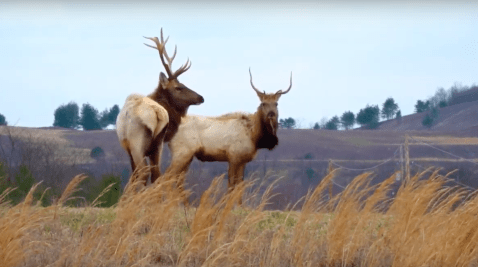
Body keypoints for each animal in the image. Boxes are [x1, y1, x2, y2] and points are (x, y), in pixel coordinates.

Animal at [117, 29, 205, 186]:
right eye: (179, 87)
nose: (201, 97)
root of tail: (156, 112)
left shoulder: (128, 147)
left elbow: (133, 175)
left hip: (137, 143)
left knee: (143, 173)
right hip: (156, 144)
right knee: (156, 174)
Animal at [164, 68, 292, 204]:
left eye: (276, 104)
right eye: (263, 103)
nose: (271, 114)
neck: (254, 135)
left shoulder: (243, 160)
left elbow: (240, 185)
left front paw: (240, 205)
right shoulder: (233, 157)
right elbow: (231, 184)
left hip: (187, 156)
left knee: (178, 179)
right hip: (182, 153)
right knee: (167, 176)